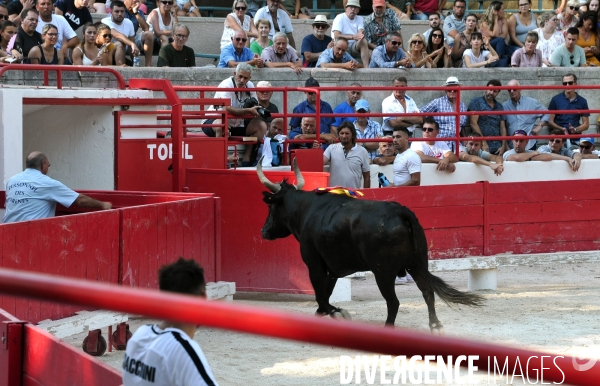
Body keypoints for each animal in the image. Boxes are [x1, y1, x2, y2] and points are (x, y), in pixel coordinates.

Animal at [255, 160, 486, 332]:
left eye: (270, 207)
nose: (264, 231)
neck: (306, 210)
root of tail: (402, 212)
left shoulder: (314, 265)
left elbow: (321, 295)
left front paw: (338, 313)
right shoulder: (332, 269)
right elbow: (324, 295)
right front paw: (326, 314)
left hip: (383, 272)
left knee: (393, 302)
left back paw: (388, 328)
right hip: (418, 264)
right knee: (427, 292)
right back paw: (436, 326)